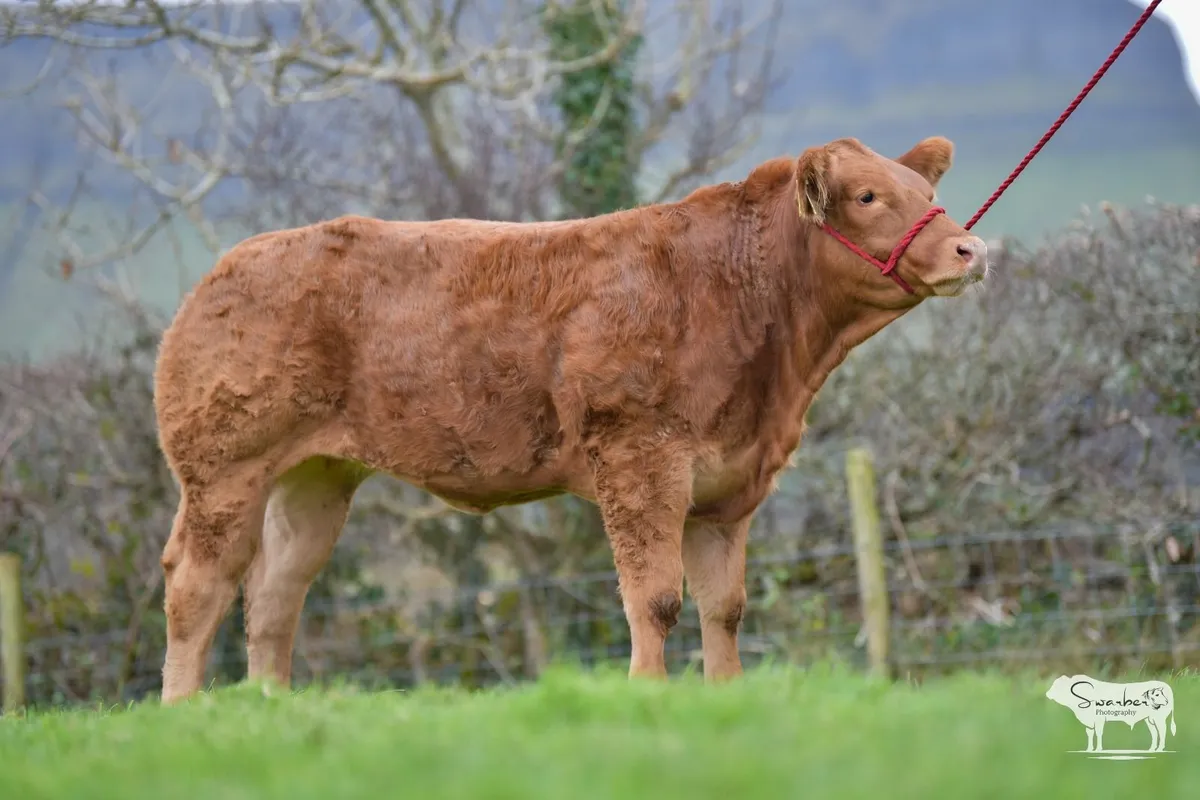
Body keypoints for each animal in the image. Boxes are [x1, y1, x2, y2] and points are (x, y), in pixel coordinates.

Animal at [152, 134, 989, 703]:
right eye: (869, 197)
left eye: (923, 189)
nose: (969, 247)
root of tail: (227, 268)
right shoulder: (641, 459)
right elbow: (654, 597)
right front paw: (648, 696)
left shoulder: (729, 482)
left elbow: (724, 607)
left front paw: (724, 699)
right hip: (224, 467)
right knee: (198, 584)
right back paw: (184, 709)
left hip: (316, 477)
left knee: (273, 595)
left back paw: (271, 705)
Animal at [1046, 674, 1178, 752]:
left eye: (1057, 685)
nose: (1047, 693)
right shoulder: (1089, 722)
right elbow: (1089, 734)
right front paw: (1089, 749)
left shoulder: (1099, 720)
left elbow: (1098, 733)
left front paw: (1098, 749)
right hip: (1149, 719)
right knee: (1155, 733)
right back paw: (1152, 749)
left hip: (1159, 719)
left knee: (1162, 731)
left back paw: (1160, 748)